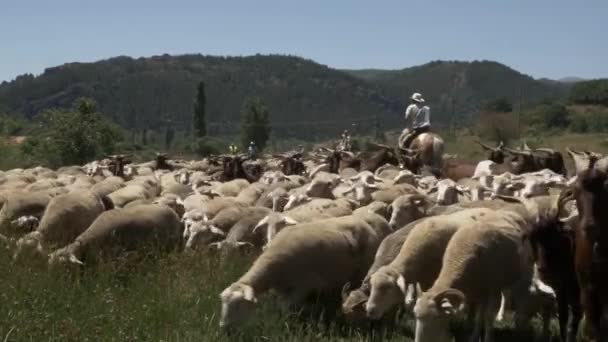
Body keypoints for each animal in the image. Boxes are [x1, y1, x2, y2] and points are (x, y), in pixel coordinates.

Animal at [218, 211, 390, 328]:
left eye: (239, 305)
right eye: (223, 304)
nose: (224, 328)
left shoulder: (301, 287)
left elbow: (287, 310)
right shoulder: (283, 289)